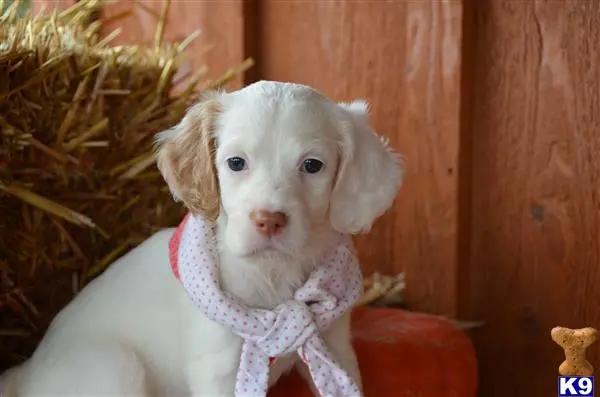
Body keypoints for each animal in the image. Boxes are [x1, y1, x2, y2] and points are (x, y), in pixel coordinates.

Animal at [2, 81, 404, 396]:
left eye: (312, 165)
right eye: (236, 163)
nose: (269, 220)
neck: (272, 276)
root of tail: (23, 374)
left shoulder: (334, 348)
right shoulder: (220, 369)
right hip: (115, 366)